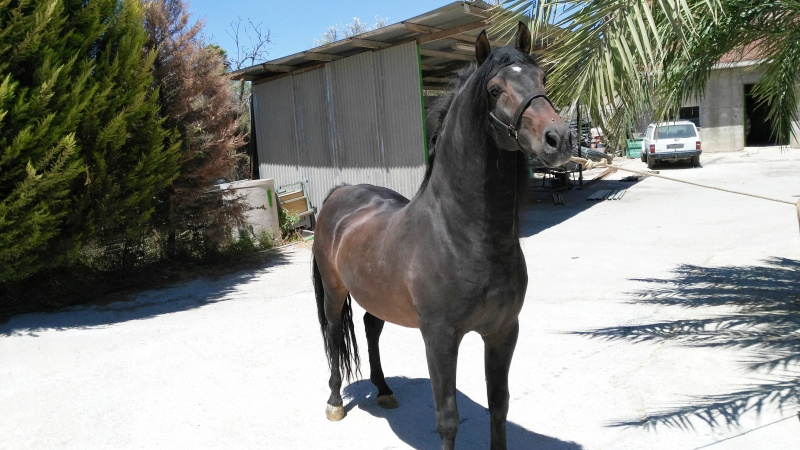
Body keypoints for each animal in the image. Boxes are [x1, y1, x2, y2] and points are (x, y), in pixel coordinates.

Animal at [311, 22, 573, 449]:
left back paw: (384, 390)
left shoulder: (503, 331)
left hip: (375, 294)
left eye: (542, 78)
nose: (559, 139)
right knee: (334, 336)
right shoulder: (440, 338)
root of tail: (341, 192)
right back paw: (334, 401)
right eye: (494, 90)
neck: (461, 236)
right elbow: (448, 418)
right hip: (334, 293)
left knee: (370, 327)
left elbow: (499, 404)